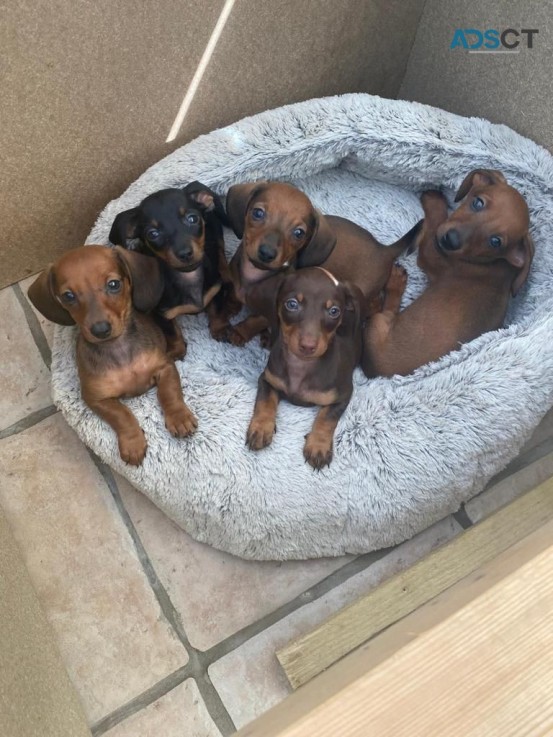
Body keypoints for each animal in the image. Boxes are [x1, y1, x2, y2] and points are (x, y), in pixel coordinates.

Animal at [28, 247, 197, 466]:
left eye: (114, 284)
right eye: (68, 296)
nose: (100, 330)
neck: (119, 350)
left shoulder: (165, 368)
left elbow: (169, 392)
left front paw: (179, 418)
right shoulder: (95, 397)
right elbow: (121, 415)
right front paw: (133, 443)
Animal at [110, 181, 231, 348]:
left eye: (192, 218)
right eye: (153, 234)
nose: (185, 253)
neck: (189, 275)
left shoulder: (215, 290)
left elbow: (217, 310)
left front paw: (220, 329)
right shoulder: (162, 314)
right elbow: (172, 333)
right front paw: (178, 349)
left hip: (215, 230)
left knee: (220, 249)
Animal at [220, 183, 418, 346]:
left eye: (299, 233)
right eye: (258, 213)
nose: (267, 253)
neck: (255, 275)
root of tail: (384, 249)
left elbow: (256, 320)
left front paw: (240, 332)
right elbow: (234, 294)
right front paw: (230, 306)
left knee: (375, 309)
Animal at [246, 268, 362, 468]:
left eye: (334, 311)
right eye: (292, 304)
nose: (308, 346)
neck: (301, 364)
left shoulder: (343, 395)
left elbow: (326, 418)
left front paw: (318, 445)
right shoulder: (267, 380)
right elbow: (265, 401)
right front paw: (260, 427)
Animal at [360, 170, 532, 376]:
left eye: (495, 241)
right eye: (478, 202)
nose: (450, 240)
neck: (492, 263)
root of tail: (374, 372)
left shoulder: (430, 250)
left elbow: (435, 220)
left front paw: (434, 199)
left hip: (378, 323)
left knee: (387, 309)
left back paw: (396, 281)